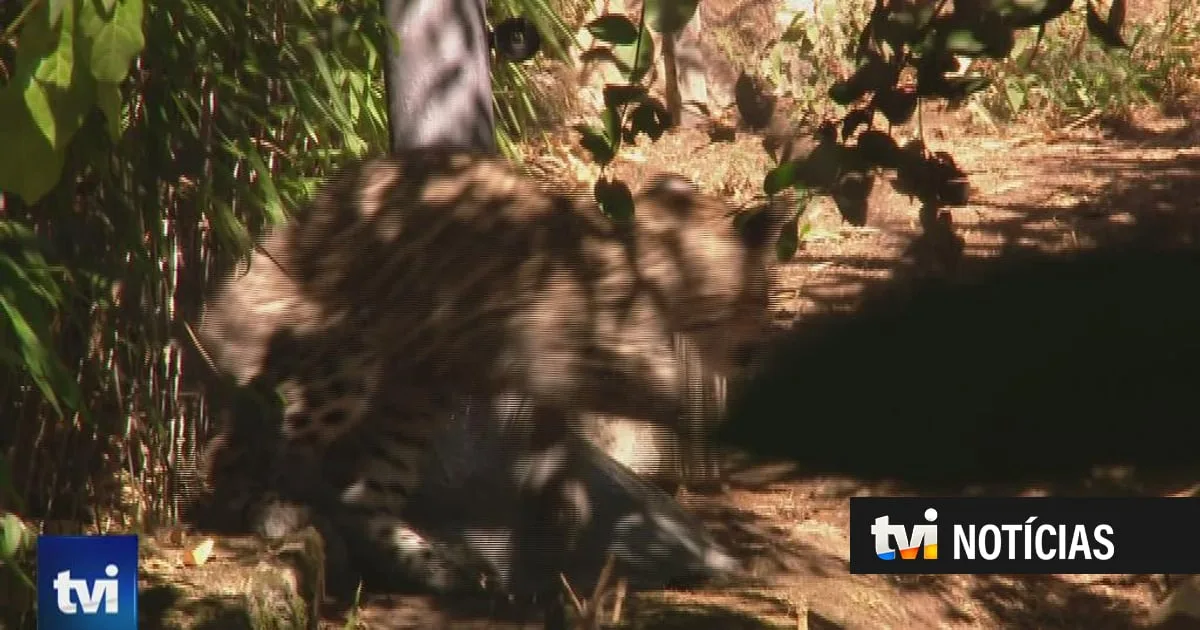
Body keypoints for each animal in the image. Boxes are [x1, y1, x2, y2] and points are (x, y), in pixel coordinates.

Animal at [191, 146, 785, 598]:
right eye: (758, 291)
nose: (758, 342)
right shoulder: (569, 355)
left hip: (417, 396)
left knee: (363, 497)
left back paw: (437, 566)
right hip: (345, 361)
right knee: (258, 444)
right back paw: (268, 509)